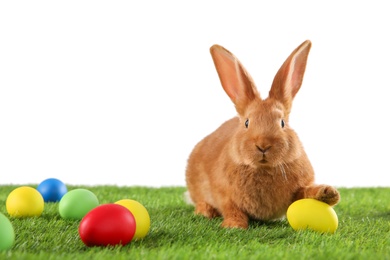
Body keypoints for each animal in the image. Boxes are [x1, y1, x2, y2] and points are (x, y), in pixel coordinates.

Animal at [184, 39, 340, 229]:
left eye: (282, 123)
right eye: (246, 123)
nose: (263, 145)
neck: (263, 168)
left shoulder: (299, 189)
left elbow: (305, 192)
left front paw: (328, 193)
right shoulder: (224, 194)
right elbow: (231, 208)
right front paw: (234, 225)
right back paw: (205, 211)